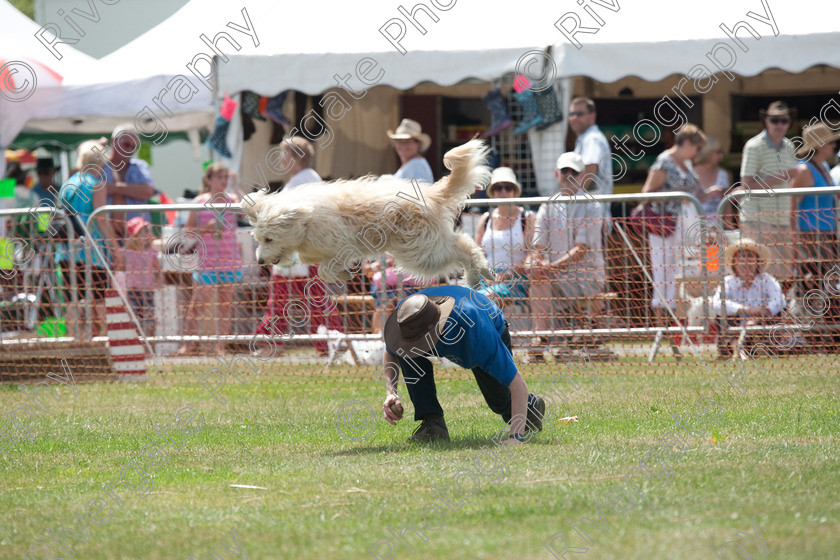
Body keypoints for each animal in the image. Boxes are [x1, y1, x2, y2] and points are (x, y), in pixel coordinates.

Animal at [240, 138, 496, 286]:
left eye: (269, 238)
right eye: (259, 239)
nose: (260, 261)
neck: (306, 222)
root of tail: (432, 193)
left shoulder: (342, 245)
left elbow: (324, 270)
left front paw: (343, 275)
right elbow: (319, 267)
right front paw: (343, 274)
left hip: (420, 250)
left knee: (463, 245)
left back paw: (479, 273)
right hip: (423, 247)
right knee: (462, 245)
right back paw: (478, 275)